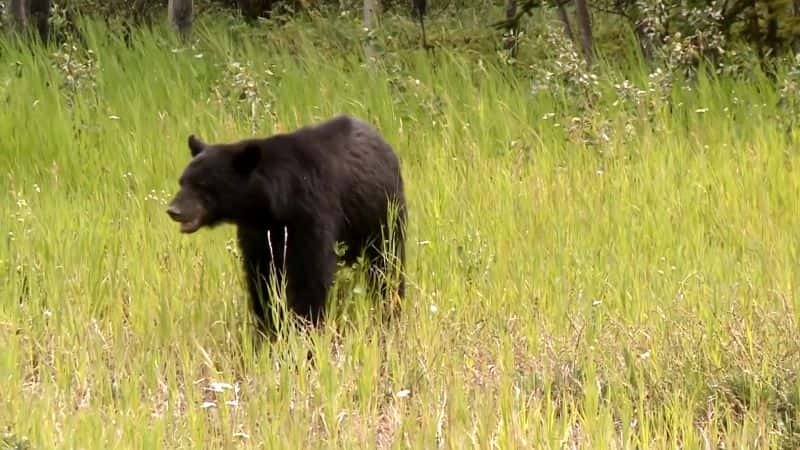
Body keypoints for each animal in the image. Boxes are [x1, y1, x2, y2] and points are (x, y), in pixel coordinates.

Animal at [166, 116, 410, 338]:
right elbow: (262, 275)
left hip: (382, 213)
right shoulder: (258, 232)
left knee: (387, 263)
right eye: (182, 181)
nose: (173, 210)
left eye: (202, 185)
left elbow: (310, 275)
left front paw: (305, 327)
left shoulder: (311, 214)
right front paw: (268, 326)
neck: (274, 206)